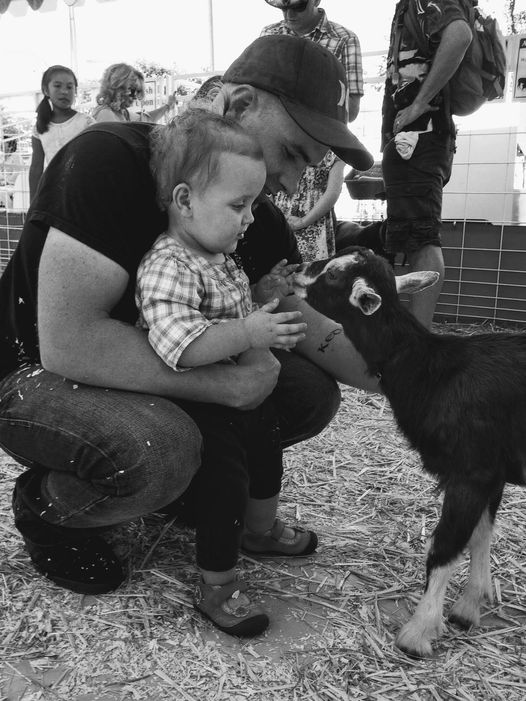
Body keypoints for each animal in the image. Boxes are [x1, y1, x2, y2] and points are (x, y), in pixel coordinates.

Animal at [292, 246, 526, 656]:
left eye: (333, 273)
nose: (298, 268)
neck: (431, 370)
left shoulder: (471, 472)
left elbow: (446, 546)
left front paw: (418, 633)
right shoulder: (492, 474)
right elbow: (481, 533)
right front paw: (468, 607)